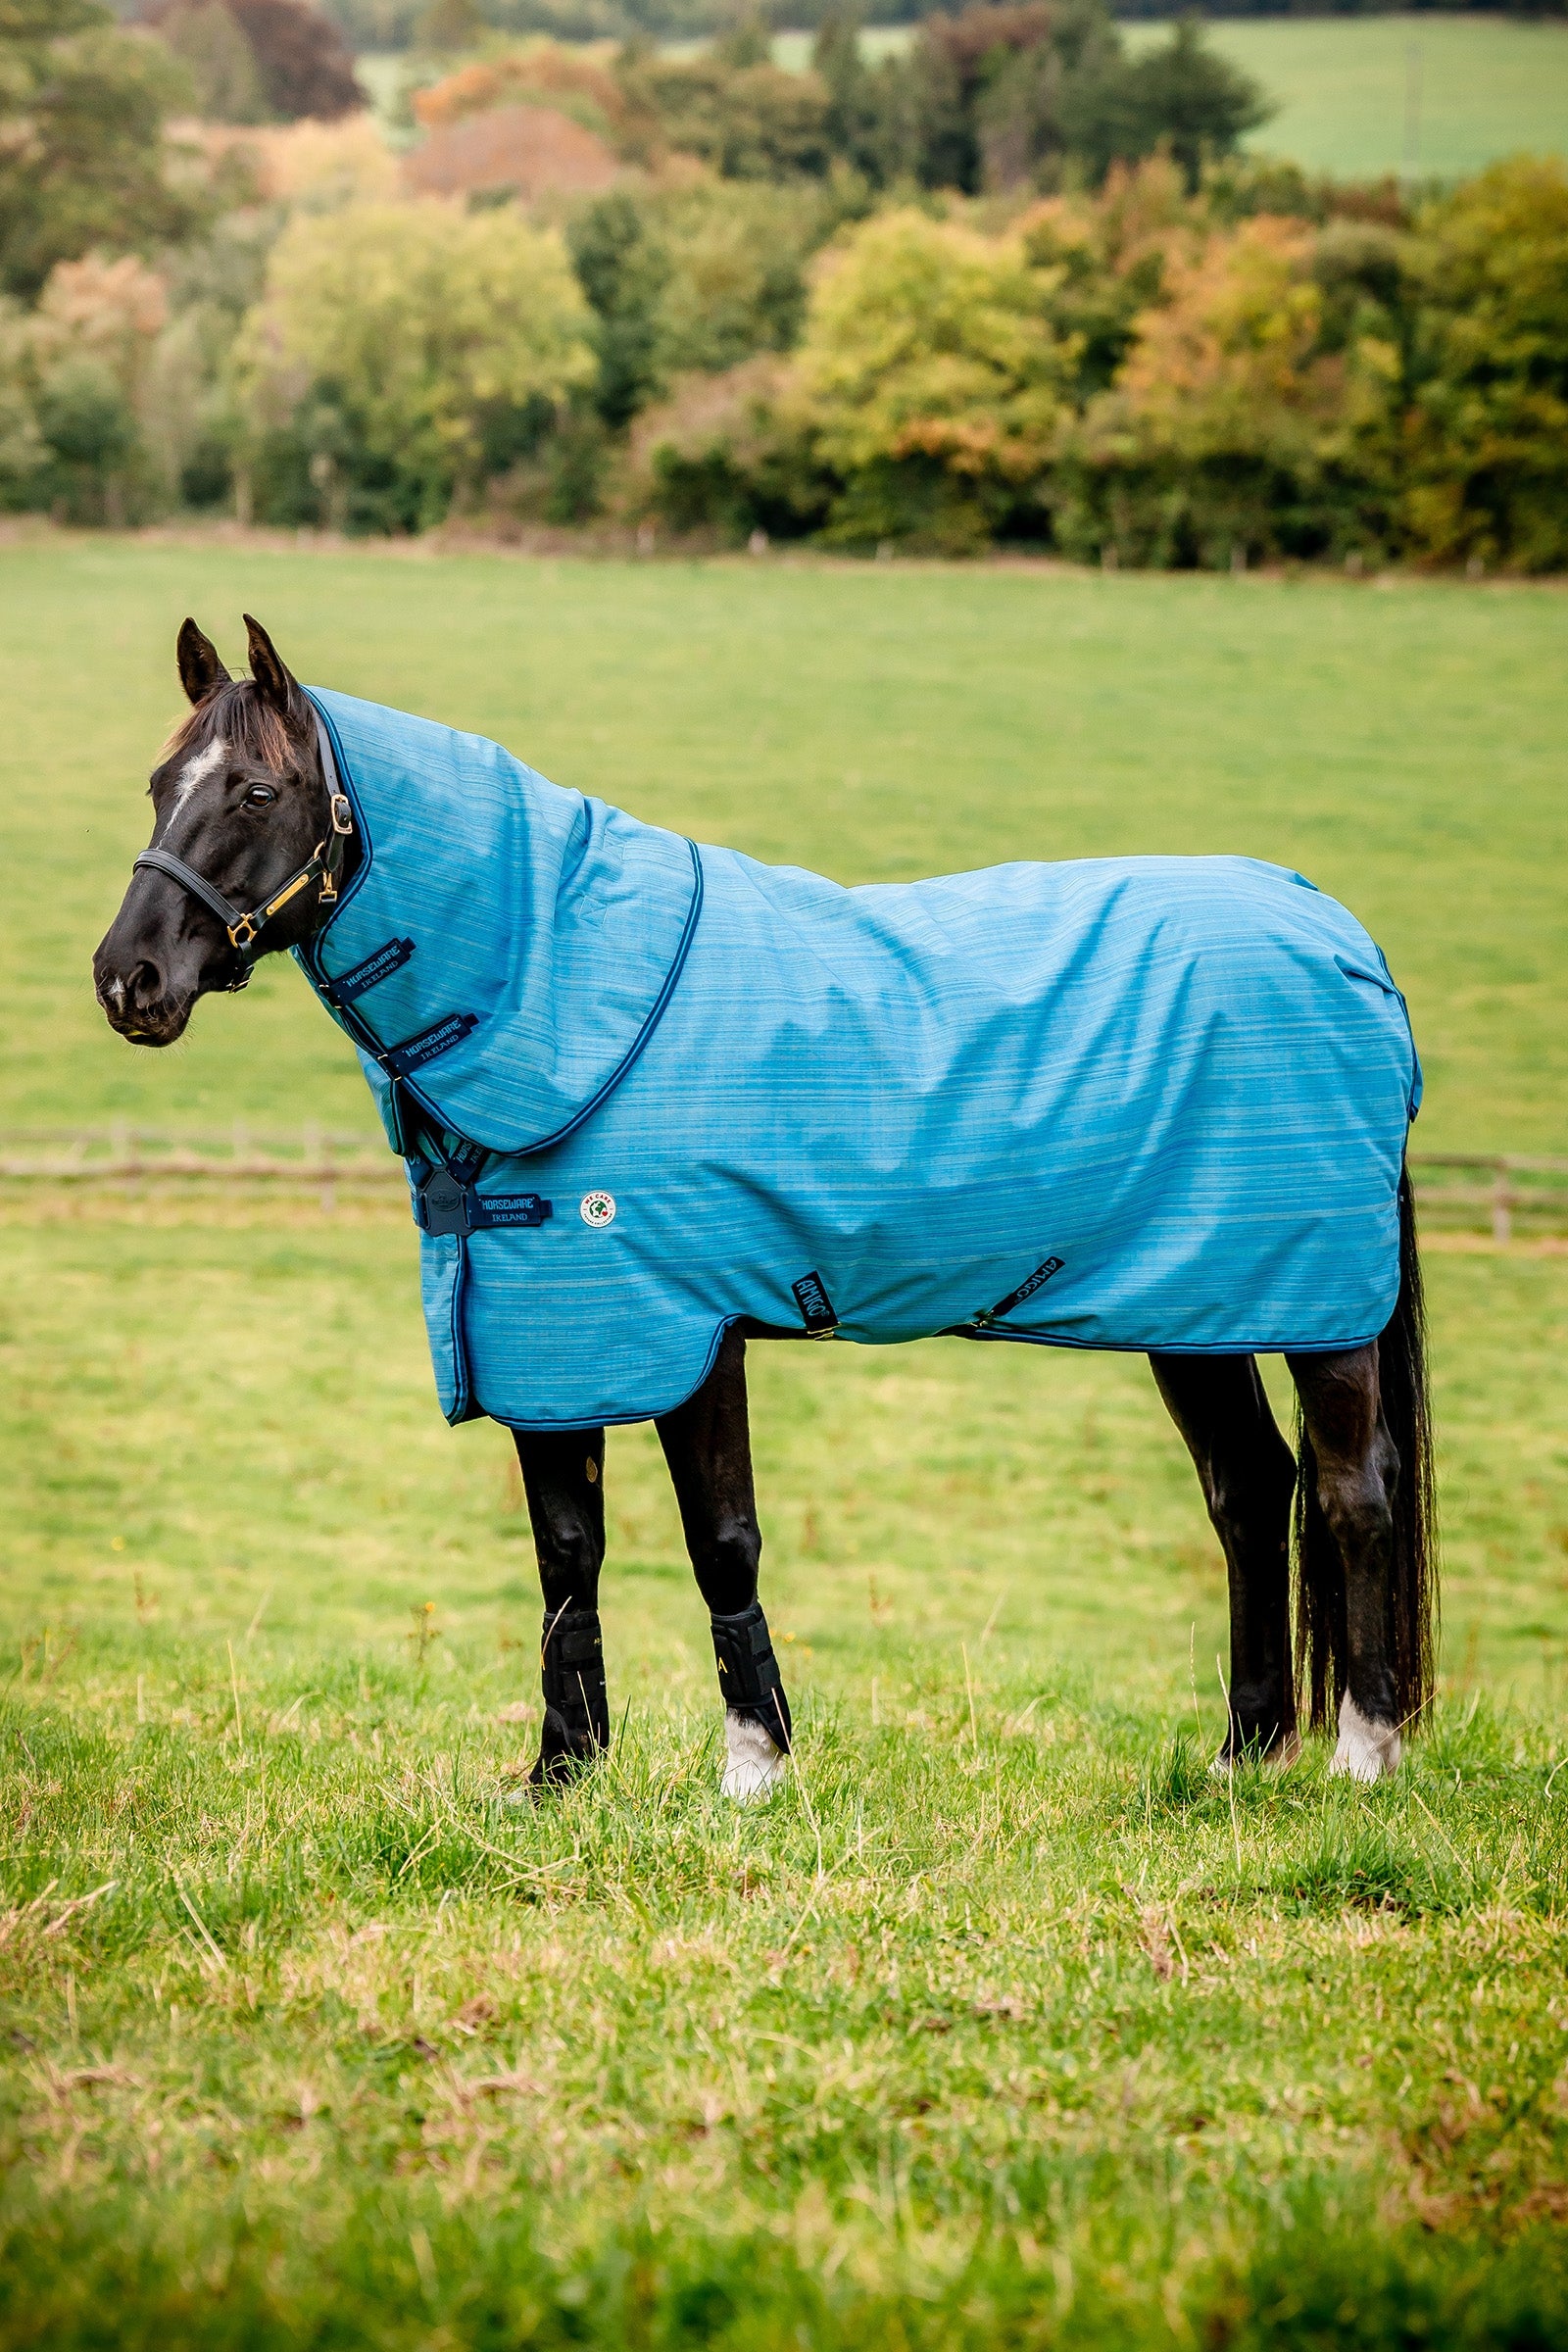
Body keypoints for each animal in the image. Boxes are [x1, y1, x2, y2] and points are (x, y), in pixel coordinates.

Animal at [94, 616, 1436, 1799]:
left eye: (255, 793)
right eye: (158, 783)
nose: (128, 980)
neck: (565, 991)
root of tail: (1338, 936)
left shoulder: (683, 1328)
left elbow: (717, 1539)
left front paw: (754, 1767)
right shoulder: (548, 1334)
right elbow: (566, 1555)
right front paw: (561, 1776)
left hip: (1319, 1307)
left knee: (1350, 1492)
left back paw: (1362, 1757)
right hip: (1198, 1305)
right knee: (1249, 1493)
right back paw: (1241, 1758)